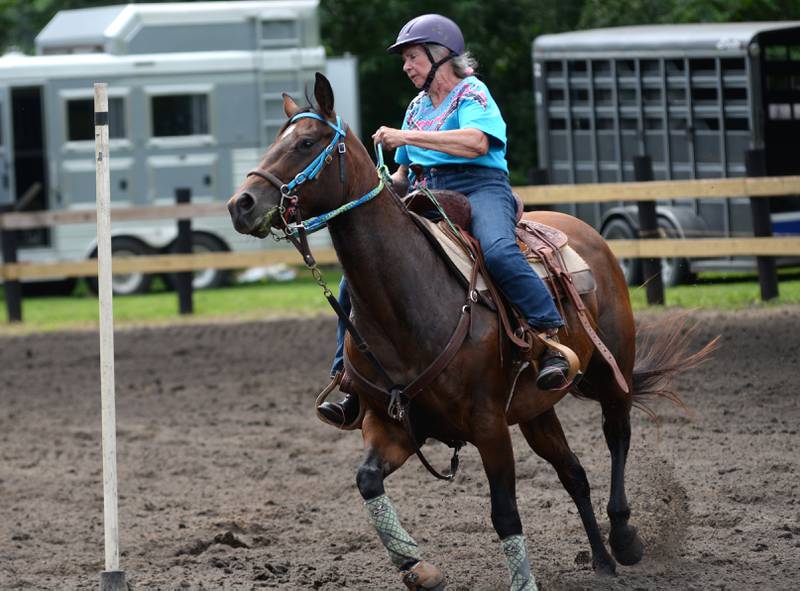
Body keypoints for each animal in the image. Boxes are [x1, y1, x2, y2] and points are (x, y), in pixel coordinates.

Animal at [227, 75, 712, 591]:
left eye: (305, 142)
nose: (241, 204)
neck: (407, 302)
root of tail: (585, 231)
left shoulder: (489, 425)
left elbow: (505, 514)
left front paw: (522, 581)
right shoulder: (391, 423)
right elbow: (367, 480)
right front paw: (418, 567)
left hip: (609, 370)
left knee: (617, 435)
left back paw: (624, 538)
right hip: (537, 410)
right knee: (573, 473)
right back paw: (601, 560)